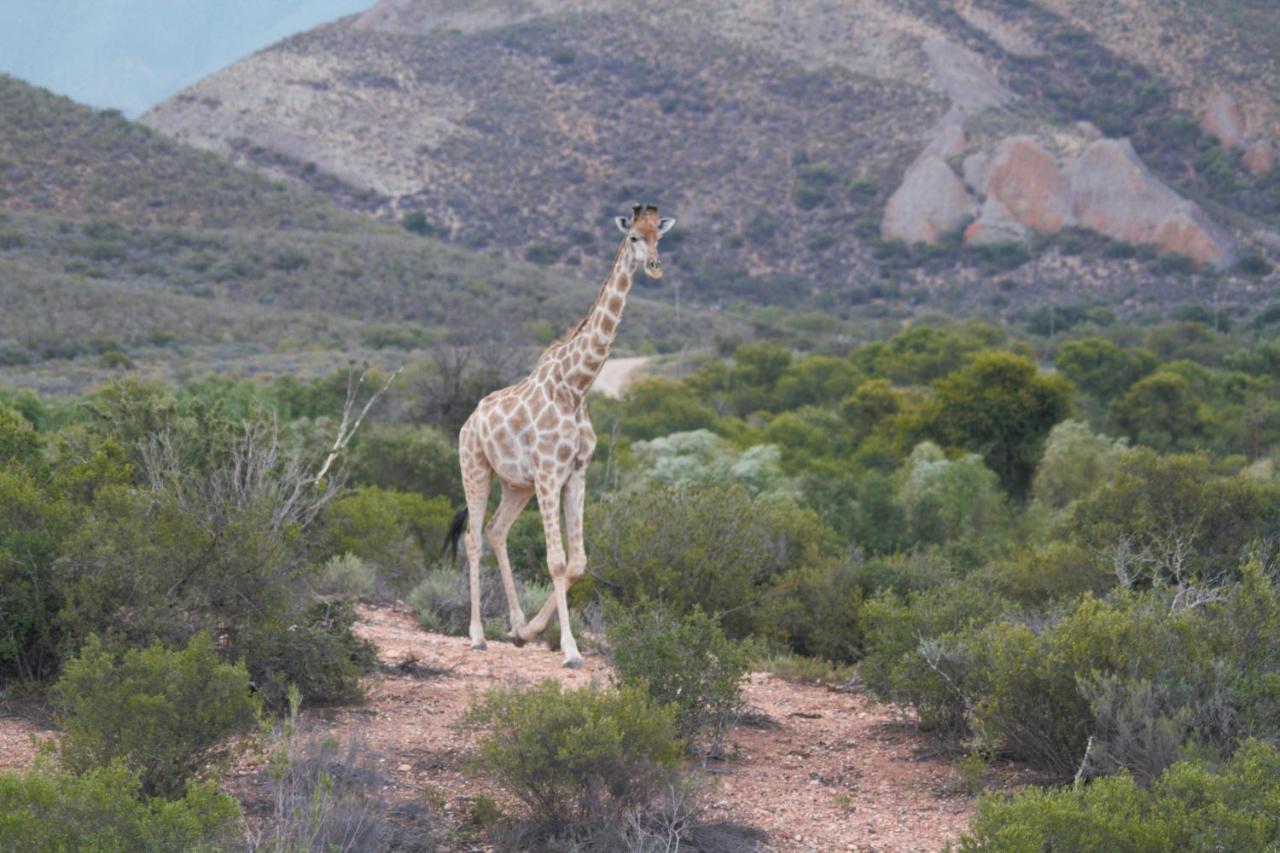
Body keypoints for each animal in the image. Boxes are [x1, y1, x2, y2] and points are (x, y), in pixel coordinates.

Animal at [450, 204, 670, 666]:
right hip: (475, 468)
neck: (577, 385)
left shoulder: (576, 473)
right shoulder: (550, 473)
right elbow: (555, 560)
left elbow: (578, 562)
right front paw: (569, 649)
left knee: (496, 530)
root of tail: (469, 421)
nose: (655, 266)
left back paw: (516, 626)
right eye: (633, 238)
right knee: (474, 537)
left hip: (517, 484)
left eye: (659, 235)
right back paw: (476, 635)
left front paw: (533, 631)